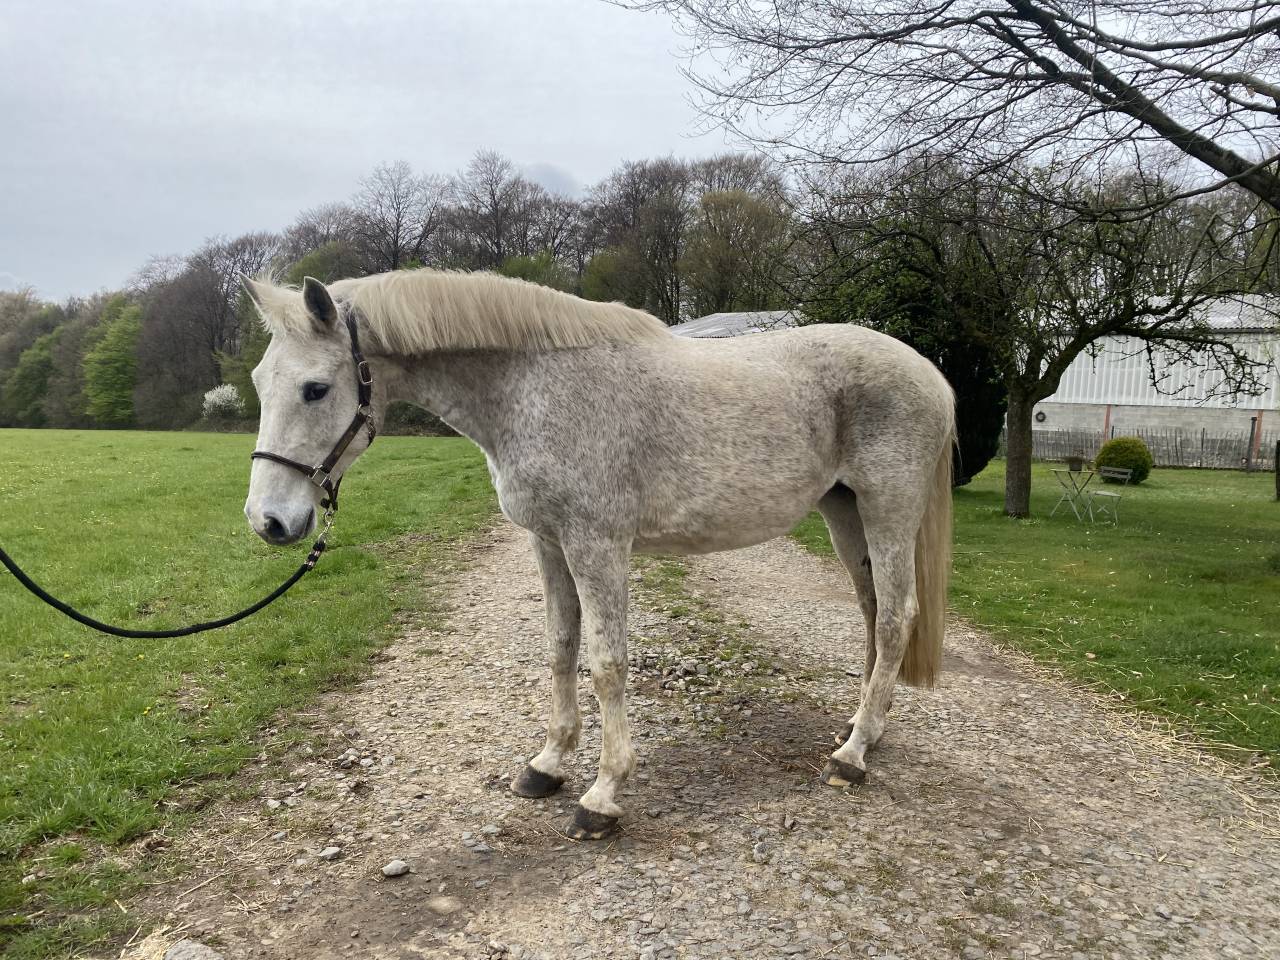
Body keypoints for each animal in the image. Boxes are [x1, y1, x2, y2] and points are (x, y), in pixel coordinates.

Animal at [242, 270, 955, 840]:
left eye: (314, 389)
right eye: (258, 383)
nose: (270, 521)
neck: (533, 386)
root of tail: (932, 376)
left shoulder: (597, 543)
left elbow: (607, 664)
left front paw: (603, 795)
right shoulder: (549, 541)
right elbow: (561, 647)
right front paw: (548, 765)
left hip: (888, 510)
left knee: (895, 618)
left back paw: (852, 755)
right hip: (844, 513)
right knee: (871, 613)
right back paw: (864, 727)